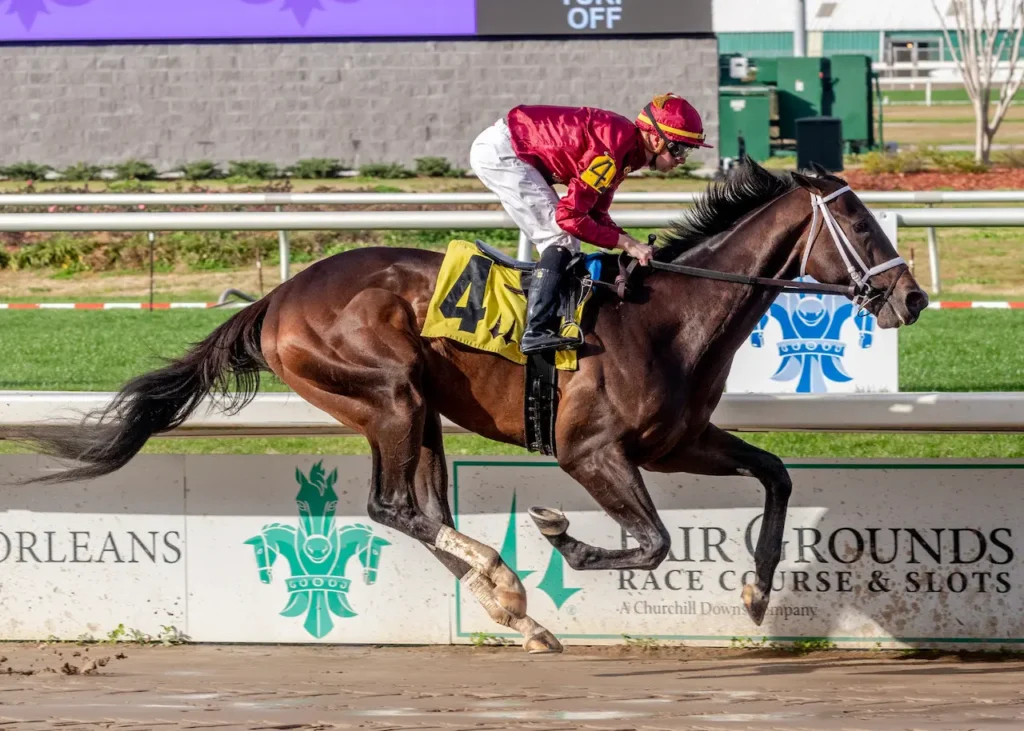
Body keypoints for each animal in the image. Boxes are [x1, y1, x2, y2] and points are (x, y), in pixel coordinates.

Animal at [4, 160, 929, 654]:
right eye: (859, 224)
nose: (911, 297)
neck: (670, 313)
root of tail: (277, 298)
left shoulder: (678, 440)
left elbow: (773, 474)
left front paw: (758, 591)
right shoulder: (590, 450)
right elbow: (654, 541)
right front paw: (558, 537)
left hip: (422, 416)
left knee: (423, 509)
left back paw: (510, 607)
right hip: (389, 393)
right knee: (391, 506)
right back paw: (505, 583)